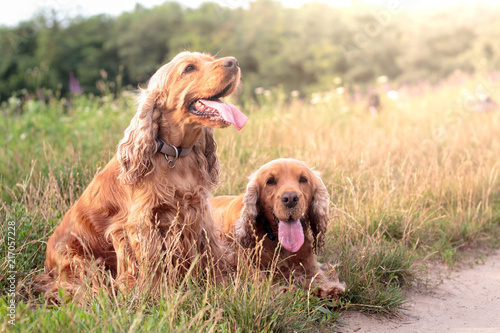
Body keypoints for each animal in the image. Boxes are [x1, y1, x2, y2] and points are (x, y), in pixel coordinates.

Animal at [33, 52, 248, 300]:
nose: (234, 62)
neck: (174, 155)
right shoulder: (140, 224)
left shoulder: (199, 212)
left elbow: (210, 250)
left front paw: (220, 282)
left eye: (210, 58)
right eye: (189, 68)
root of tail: (47, 265)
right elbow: (151, 261)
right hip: (79, 260)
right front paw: (153, 293)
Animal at [210, 157, 344, 296]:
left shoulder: (308, 262)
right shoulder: (240, 260)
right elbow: (257, 276)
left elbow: (316, 274)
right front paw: (280, 289)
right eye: (270, 181)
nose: (290, 198)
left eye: (303, 179)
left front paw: (329, 287)